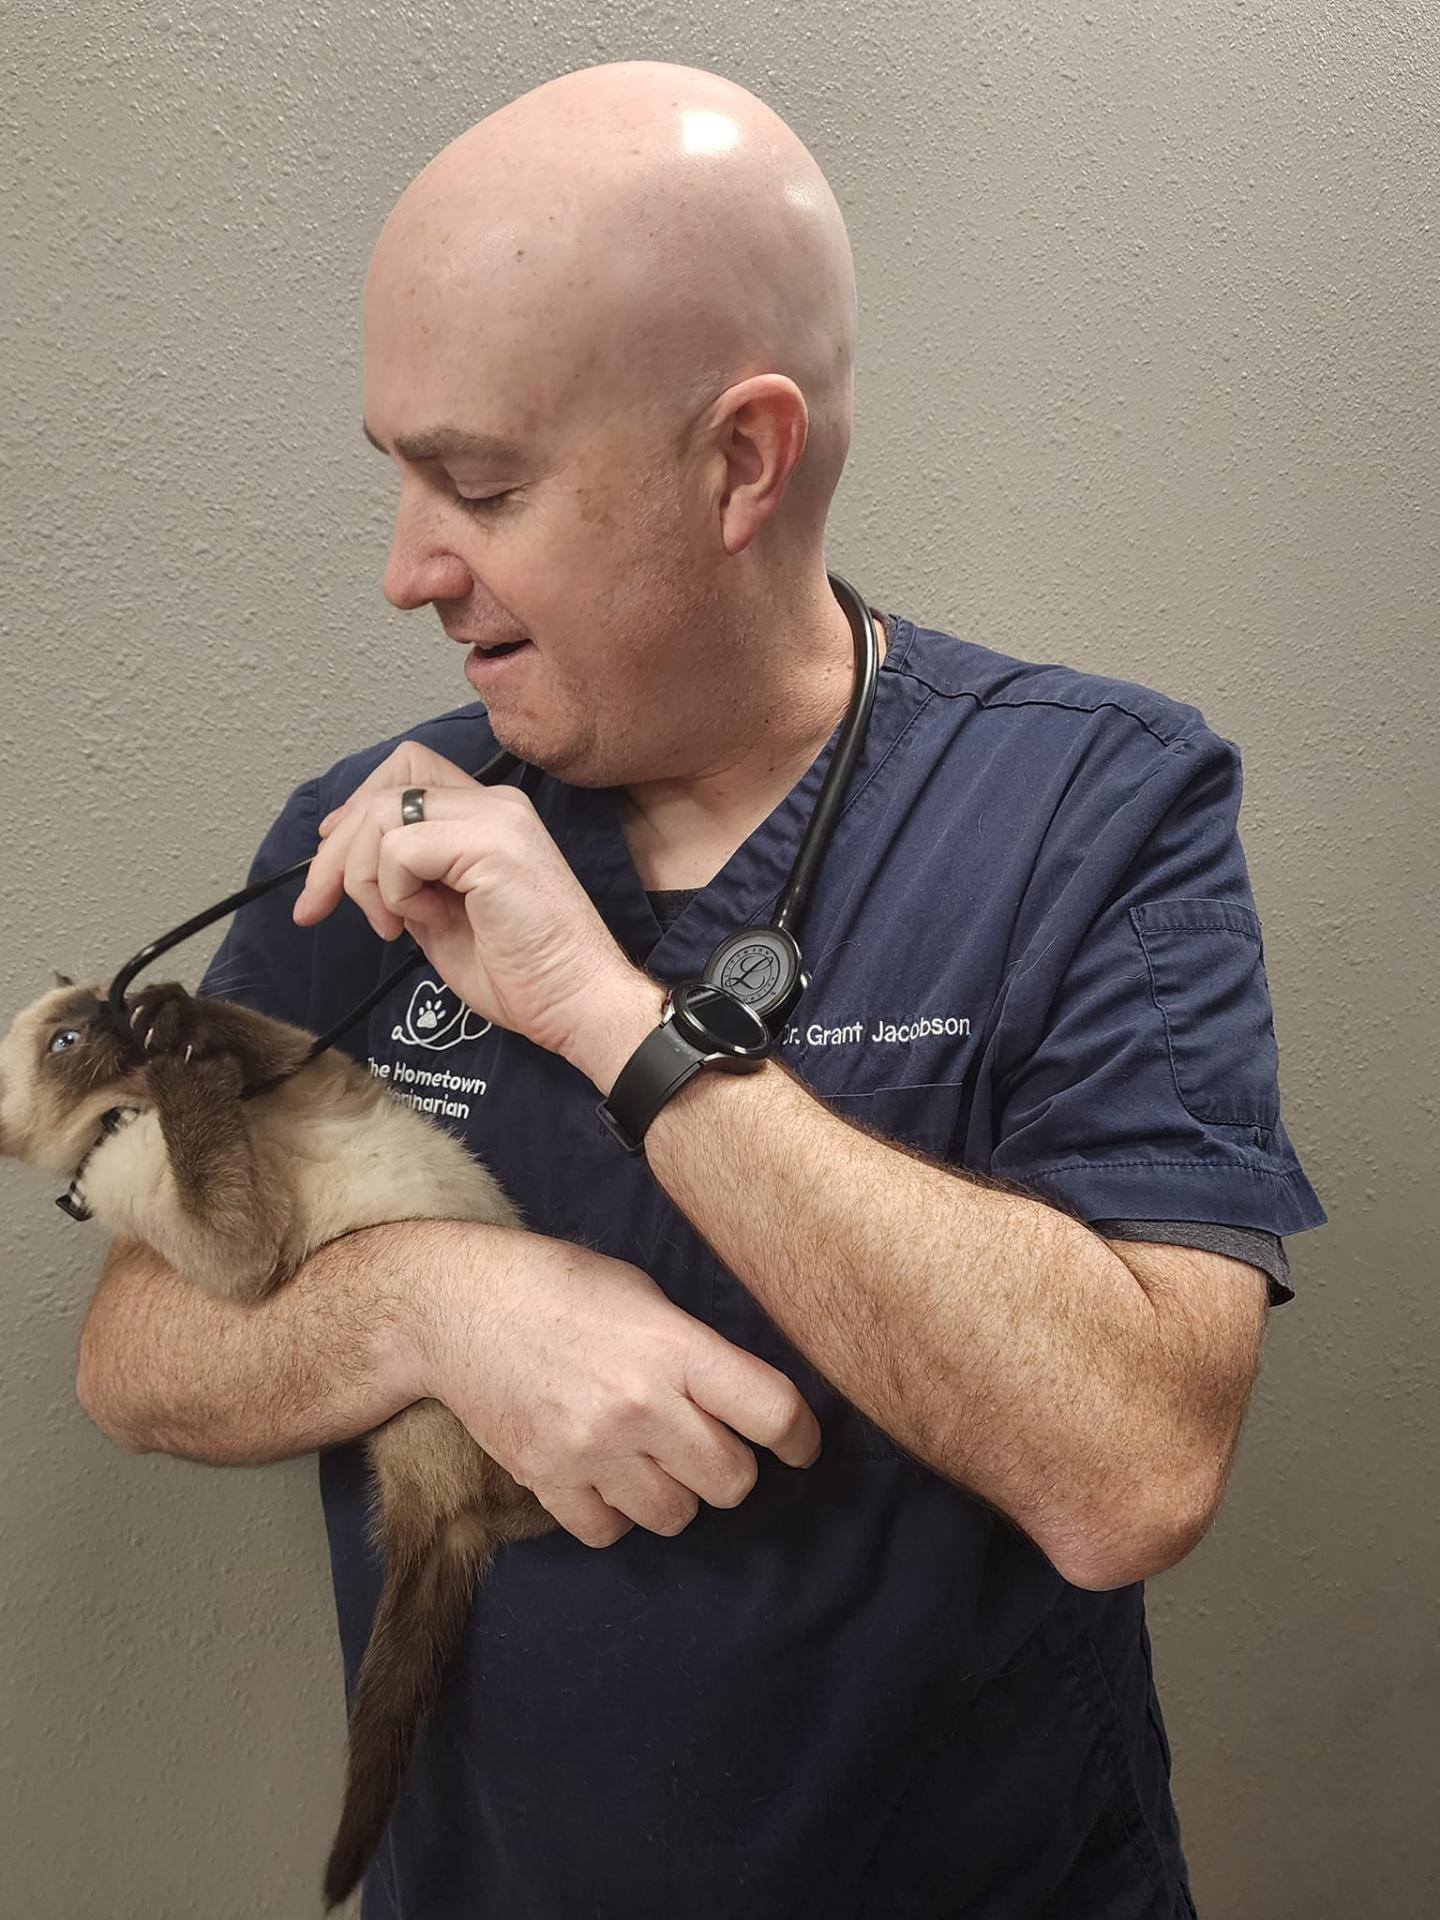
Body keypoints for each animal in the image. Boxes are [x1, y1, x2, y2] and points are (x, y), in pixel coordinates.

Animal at [0, 983, 556, 1912]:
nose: (116, 1015)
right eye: (65, 1043)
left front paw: (172, 1016)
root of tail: (441, 1519)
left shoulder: (311, 1068)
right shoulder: (233, 1247)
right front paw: (180, 1064)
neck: (131, 1112)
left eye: (89, 1007)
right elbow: (209, 1151)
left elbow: (248, 1031)